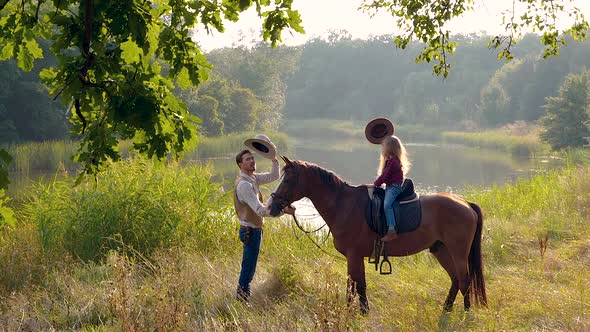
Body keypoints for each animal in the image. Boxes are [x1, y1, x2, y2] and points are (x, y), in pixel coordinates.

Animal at [270, 158, 488, 314]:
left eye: (287, 180)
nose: (272, 206)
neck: (344, 205)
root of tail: (466, 204)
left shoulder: (353, 255)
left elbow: (355, 285)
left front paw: (355, 311)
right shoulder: (355, 257)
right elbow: (357, 285)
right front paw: (360, 311)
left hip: (458, 252)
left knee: (465, 280)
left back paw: (466, 312)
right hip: (441, 249)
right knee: (455, 279)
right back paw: (447, 308)